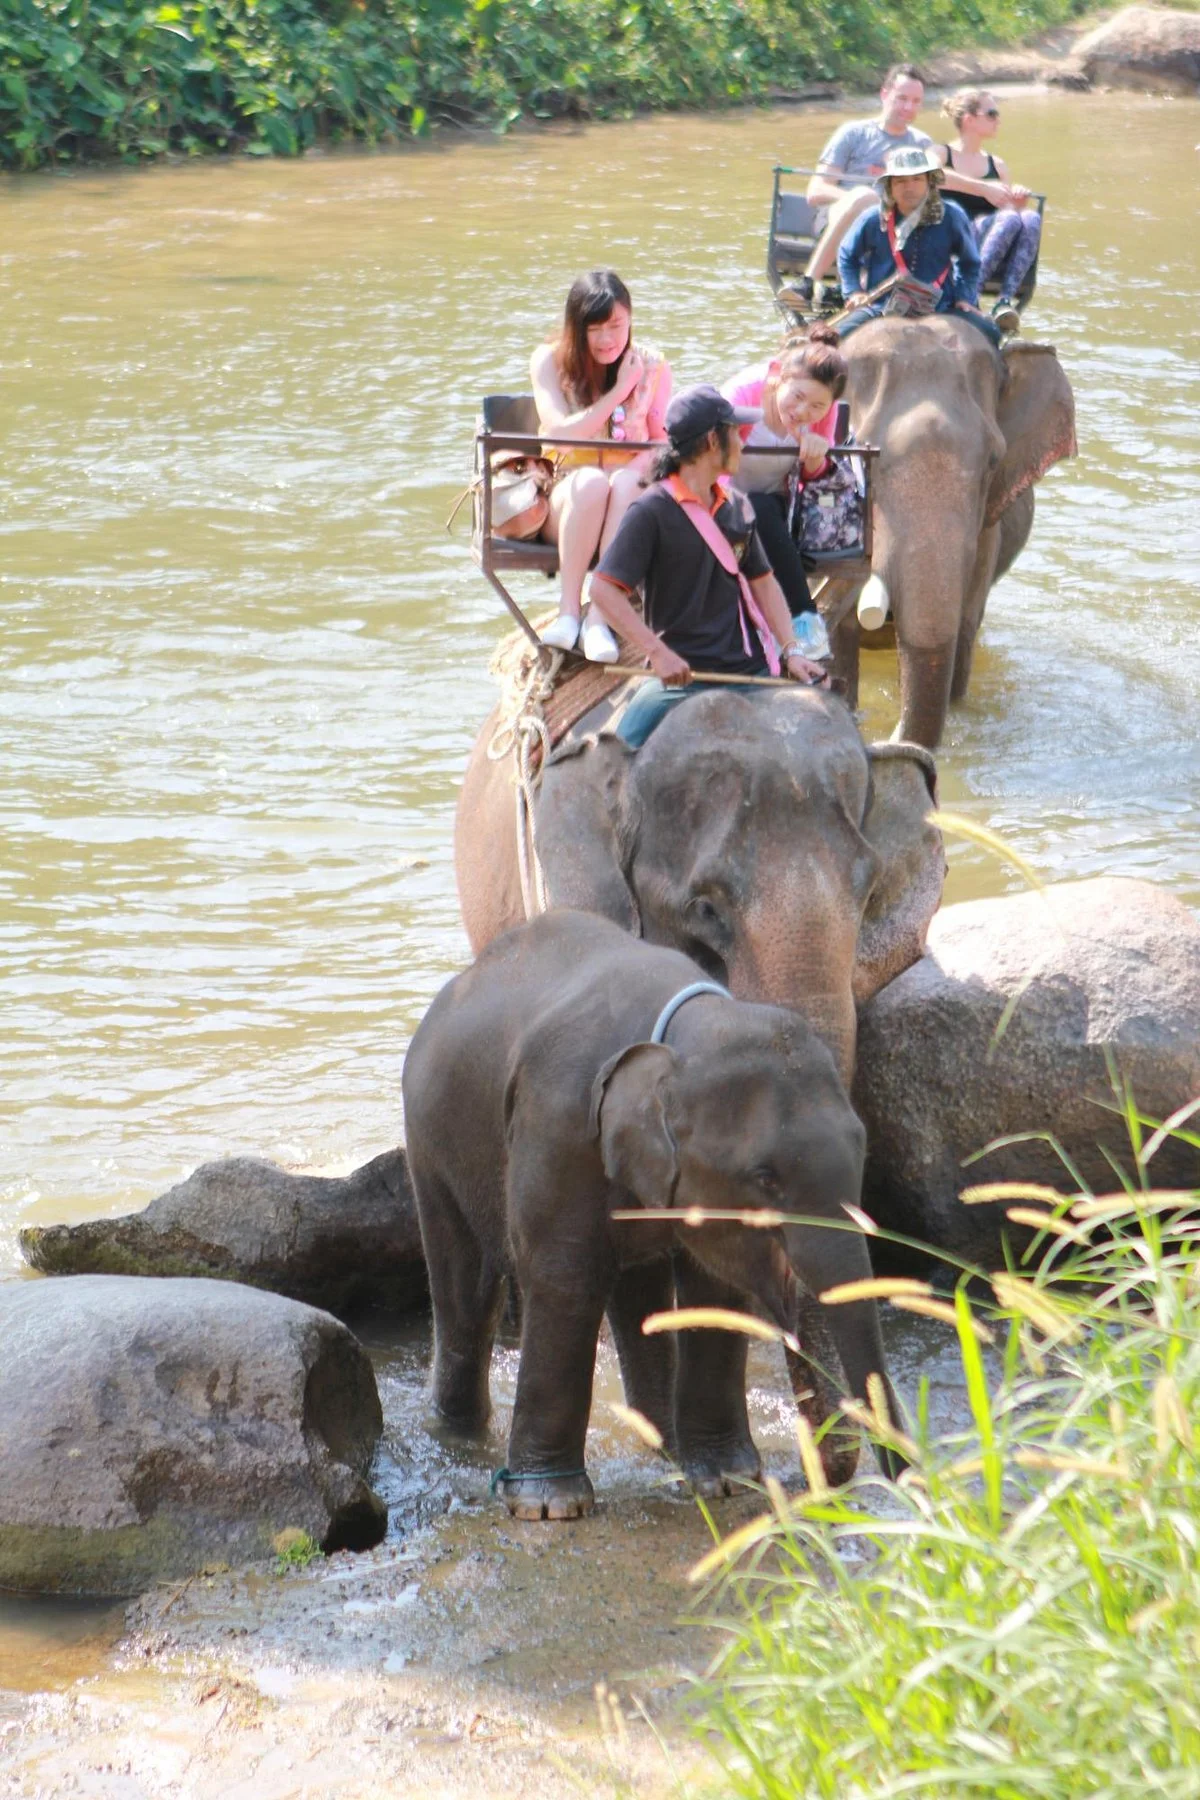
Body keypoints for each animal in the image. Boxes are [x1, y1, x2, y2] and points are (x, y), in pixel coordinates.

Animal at [401, 909, 905, 1520]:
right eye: (765, 1177)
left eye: (862, 1149)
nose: (905, 1484)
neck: (684, 1033)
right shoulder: (559, 1124)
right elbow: (565, 1278)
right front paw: (550, 1507)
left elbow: (713, 1290)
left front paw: (728, 1482)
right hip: (430, 1142)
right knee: (466, 1290)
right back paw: (461, 1437)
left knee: (635, 1291)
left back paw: (663, 1448)